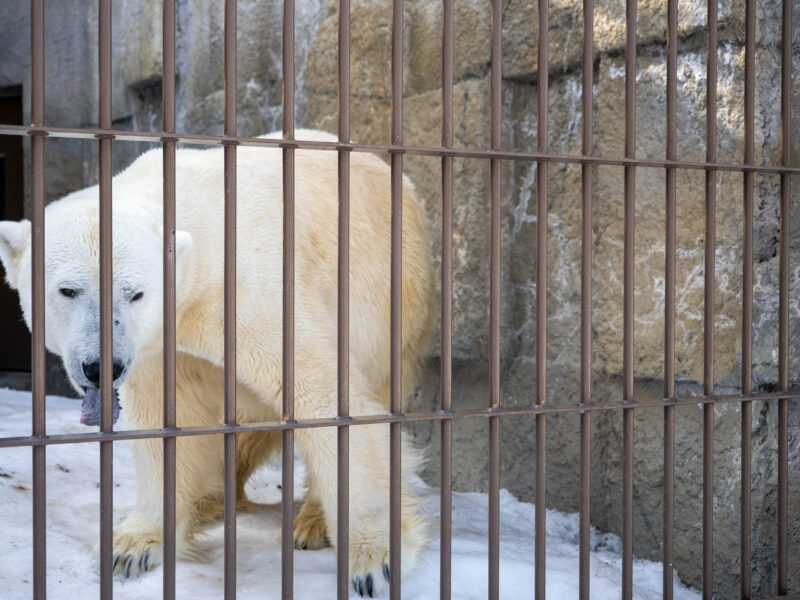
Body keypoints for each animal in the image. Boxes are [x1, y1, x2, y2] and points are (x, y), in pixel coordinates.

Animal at [0, 129, 434, 592]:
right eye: (68, 290)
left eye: (136, 293)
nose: (103, 368)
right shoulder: (159, 345)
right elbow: (166, 419)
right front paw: (133, 547)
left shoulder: (252, 292)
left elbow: (326, 398)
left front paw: (374, 561)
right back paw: (212, 500)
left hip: (395, 306)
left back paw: (311, 523)